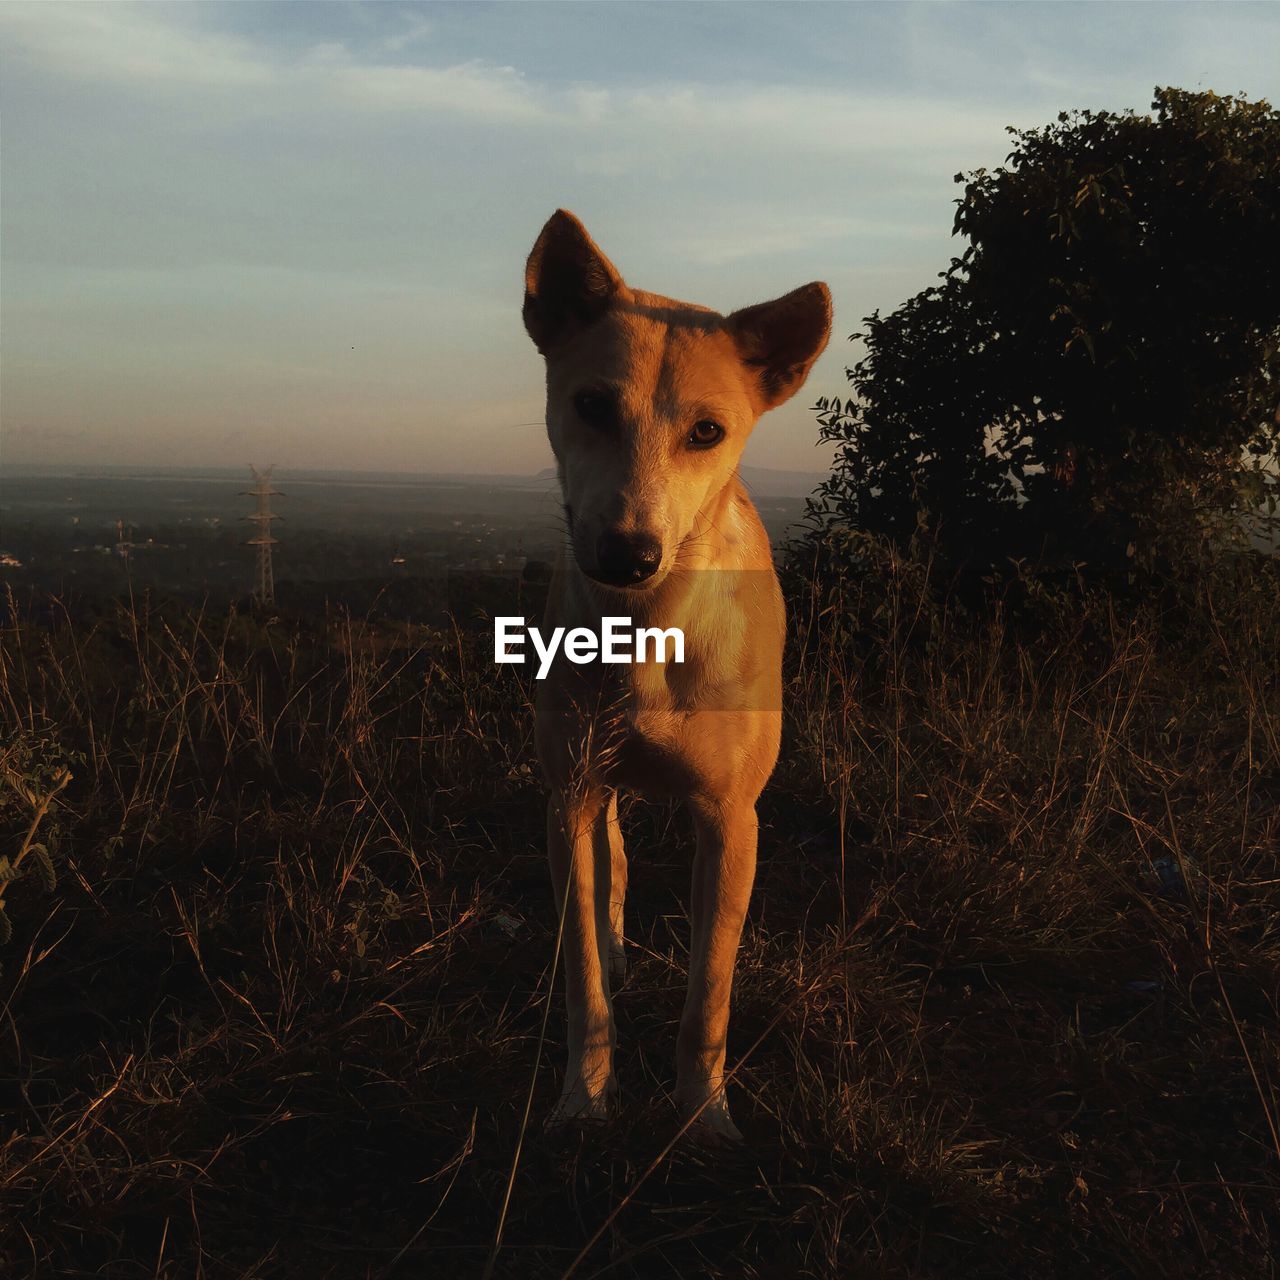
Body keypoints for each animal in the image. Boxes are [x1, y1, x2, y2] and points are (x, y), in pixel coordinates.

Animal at [524, 209, 834, 1141]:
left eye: (707, 432)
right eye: (591, 405)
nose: (628, 555)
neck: (648, 630)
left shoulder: (732, 822)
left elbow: (709, 995)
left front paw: (703, 1116)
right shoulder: (571, 794)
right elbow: (583, 974)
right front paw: (585, 1099)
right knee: (611, 869)